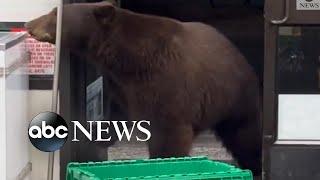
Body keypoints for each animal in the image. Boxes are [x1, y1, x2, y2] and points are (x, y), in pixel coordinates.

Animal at [24, 1, 260, 175]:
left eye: (55, 13)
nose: (28, 24)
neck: (128, 58)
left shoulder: (167, 84)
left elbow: (168, 133)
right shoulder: (123, 86)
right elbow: (116, 113)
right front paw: (99, 136)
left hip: (233, 96)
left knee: (244, 134)